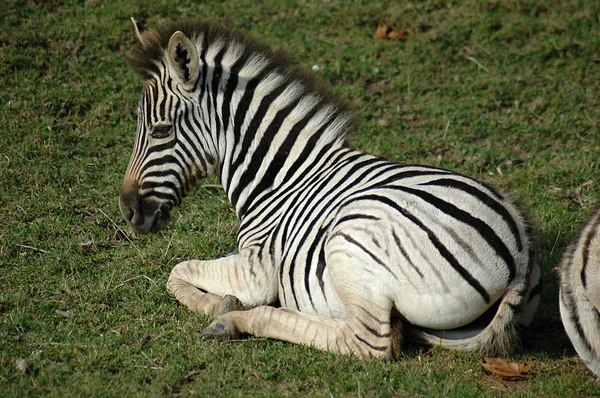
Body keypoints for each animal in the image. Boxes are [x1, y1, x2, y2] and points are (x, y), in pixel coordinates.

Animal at [119, 18, 540, 360]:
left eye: (160, 131)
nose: (127, 210)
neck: (282, 178)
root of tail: (519, 254)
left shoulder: (257, 269)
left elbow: (177, 271)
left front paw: (221, 304)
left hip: (351, 239)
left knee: (371, 342)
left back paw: (236, 319)